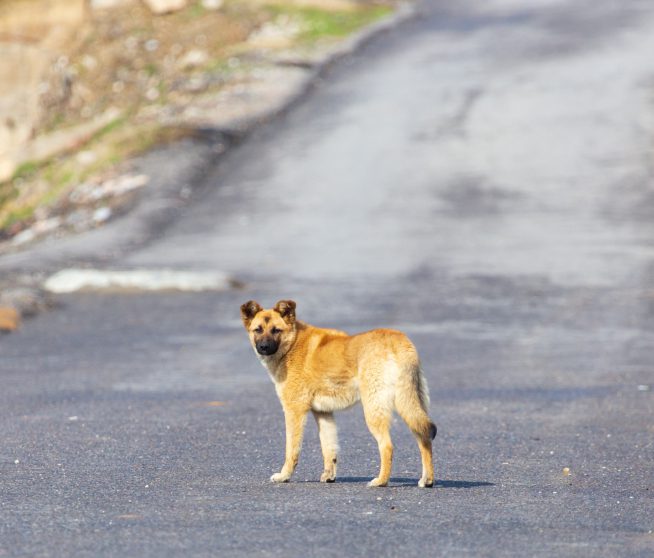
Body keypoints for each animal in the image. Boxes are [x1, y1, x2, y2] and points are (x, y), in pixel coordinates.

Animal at [238, 300, 438, 488]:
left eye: (276, 330)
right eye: (258, 330)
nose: (263, 347)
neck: (292, 344)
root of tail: (399, 340)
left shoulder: (294, 411)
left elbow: (292, 450)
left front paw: (284, 476)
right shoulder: (323, 413)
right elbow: (329, 448)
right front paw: (329, 476)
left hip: (375, 409)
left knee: (387, 446)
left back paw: (381, 481)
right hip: (412, 402)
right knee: (424, 438)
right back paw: (427, 480)